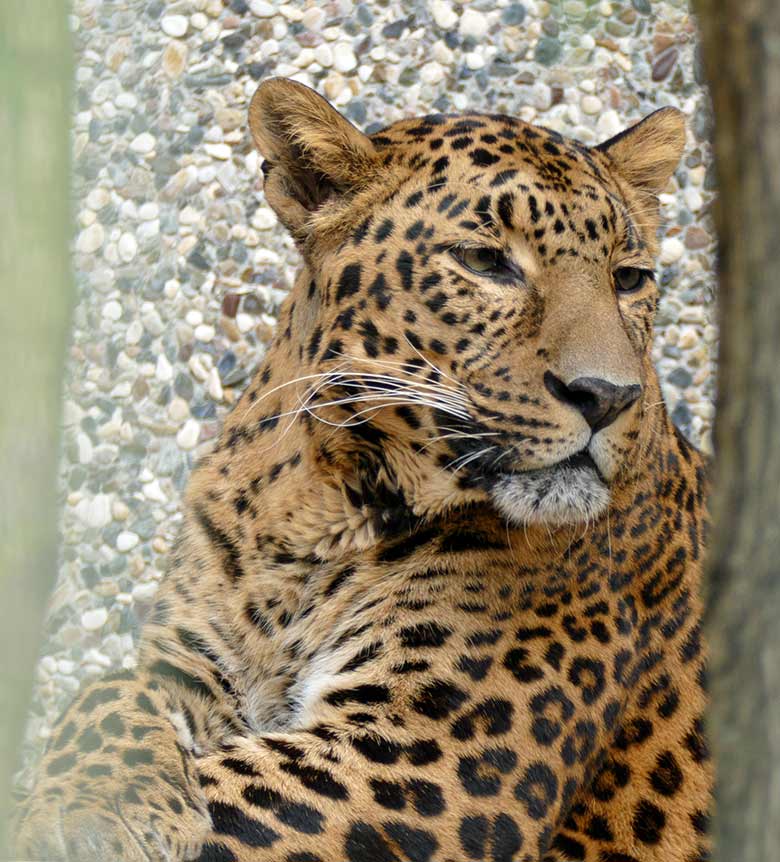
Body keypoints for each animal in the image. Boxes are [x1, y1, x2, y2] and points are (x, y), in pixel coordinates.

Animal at [16, 77, 712, 860]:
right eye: (486, 262)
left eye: (630, 278)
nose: (609, 395)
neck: (312, 505)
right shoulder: (194, 665)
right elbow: (105, 689)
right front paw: (93, 803)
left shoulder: (422, 761)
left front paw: (86, 815)